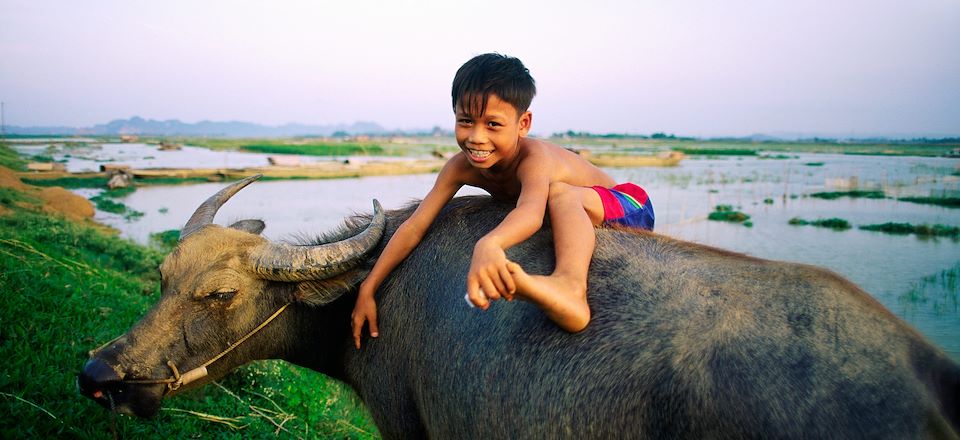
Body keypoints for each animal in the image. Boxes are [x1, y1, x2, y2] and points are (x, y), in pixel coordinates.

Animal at [79, 174, 956, 436]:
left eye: (222, 293)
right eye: (161, 276)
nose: (99, 374)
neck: (375, 288)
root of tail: (928, 374)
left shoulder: (410, 421)